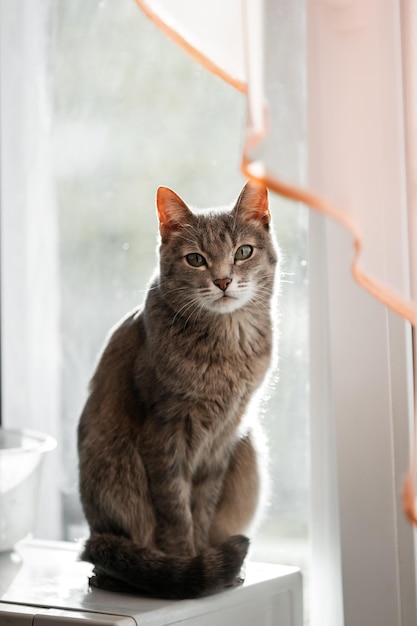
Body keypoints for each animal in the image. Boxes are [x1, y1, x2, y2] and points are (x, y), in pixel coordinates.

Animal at [78, 178, 280, 596]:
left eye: (243, 252)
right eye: (196, 259)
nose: (223, 281)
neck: (228, 347)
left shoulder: (225, 437)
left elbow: (201, 507)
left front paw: (203, 556)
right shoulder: (165, 431)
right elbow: (175, 509)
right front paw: (186, 562)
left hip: (247, 449)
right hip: (115, 464)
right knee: (108, 550)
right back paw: (119, 576)